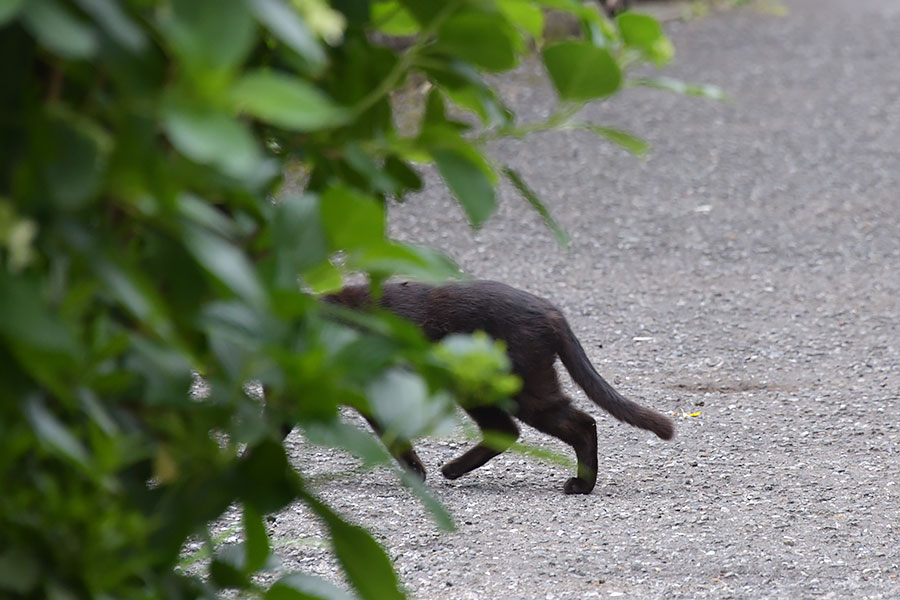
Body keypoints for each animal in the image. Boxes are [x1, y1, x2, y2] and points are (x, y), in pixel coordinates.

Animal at [326, 278, 672, 494]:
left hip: (518, 387)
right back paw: (453, 469)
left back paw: (581, 485)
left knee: (581, 423)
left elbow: (393, 435)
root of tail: (549, 308)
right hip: (479, 388)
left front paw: (414, 474)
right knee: (507, 429)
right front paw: (416, 473)